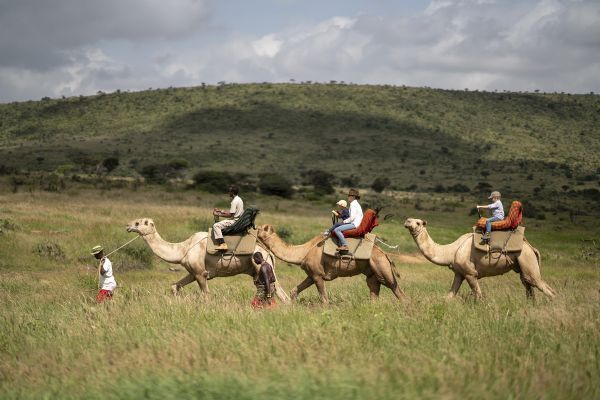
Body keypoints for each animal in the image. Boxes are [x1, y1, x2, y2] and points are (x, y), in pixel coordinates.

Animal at [126, 219, 290, 304]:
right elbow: (174, 286)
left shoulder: (201, 273)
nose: (127, 226)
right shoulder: (193, 272)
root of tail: (268, 252)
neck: (183, 248)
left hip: (262, 265)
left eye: (138, 223)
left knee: (280, 292)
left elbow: (206, 295)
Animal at [255, 225, 406, 304]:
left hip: (382, 267)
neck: (304, 251)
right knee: (374, 289)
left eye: (260, 228)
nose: (253, 227)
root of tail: (385, 254)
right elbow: (294, 291)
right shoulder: (311, 274)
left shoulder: (317, 275)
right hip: (372, 273)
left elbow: (324, 299)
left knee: (396, 289)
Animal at [404, 219, 556, 300]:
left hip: (526, 257)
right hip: (521, 263)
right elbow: (450, 295)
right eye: (409, 220)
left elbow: (478, 295)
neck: (451, 251)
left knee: (539, 284)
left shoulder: (470, 273)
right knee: (528, 284)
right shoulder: (459, 273)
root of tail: (532, 247)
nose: (407, 221)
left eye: (418, 223)